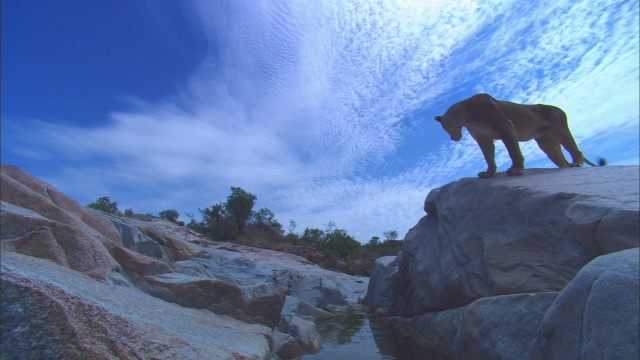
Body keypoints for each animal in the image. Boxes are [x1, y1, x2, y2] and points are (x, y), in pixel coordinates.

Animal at [432, 92, 604, 178]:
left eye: (445, 129)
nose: (453, 138)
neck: (465, 114)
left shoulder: (505, 126)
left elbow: (513, 151)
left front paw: (517, 170)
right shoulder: (483, 139)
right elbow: (489, 156)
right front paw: (488, 173)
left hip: (560, 129)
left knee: (576, 151)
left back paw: (577, 164)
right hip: (547, 143)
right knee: (561, 160)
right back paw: (567, 168)